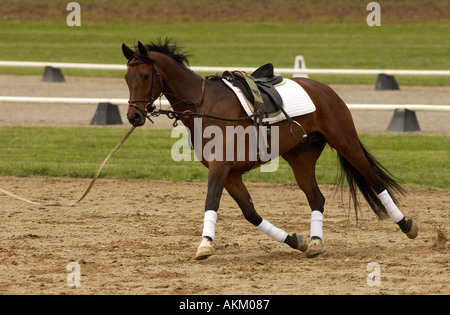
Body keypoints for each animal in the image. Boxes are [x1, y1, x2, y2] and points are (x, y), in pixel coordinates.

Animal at [122, 39, 418, 260]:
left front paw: (205, 244)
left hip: (345, 142)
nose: (133, 116)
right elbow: (251, 214)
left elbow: (211, 202)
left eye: (145, 75)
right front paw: (295, 240)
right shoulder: (231, 175)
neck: (205, 104)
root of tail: (323, 88)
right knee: (316, 198)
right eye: (126, 77)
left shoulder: (220, 168)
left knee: (374, 181)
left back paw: (406, 224)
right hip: (301, 159)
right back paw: (315, 243)